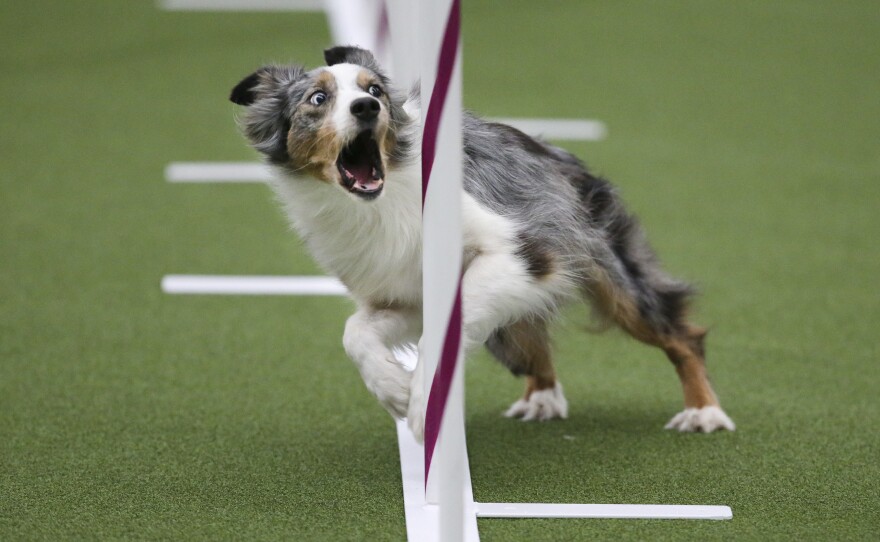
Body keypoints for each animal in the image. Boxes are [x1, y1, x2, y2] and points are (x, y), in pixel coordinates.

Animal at [229, 44, 736, 440]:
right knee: (533, 341)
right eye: (318, 98)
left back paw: (703, 411)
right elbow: (355, 333)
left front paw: (421, 406)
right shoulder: (403, 294)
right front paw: (394, 390)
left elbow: (445, 328)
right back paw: (541, 398)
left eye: (373, 91)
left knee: (680, 334)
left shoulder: (521, 253)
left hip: (607, 271)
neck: (380, 199)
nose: (367, 109)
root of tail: (559, 155)